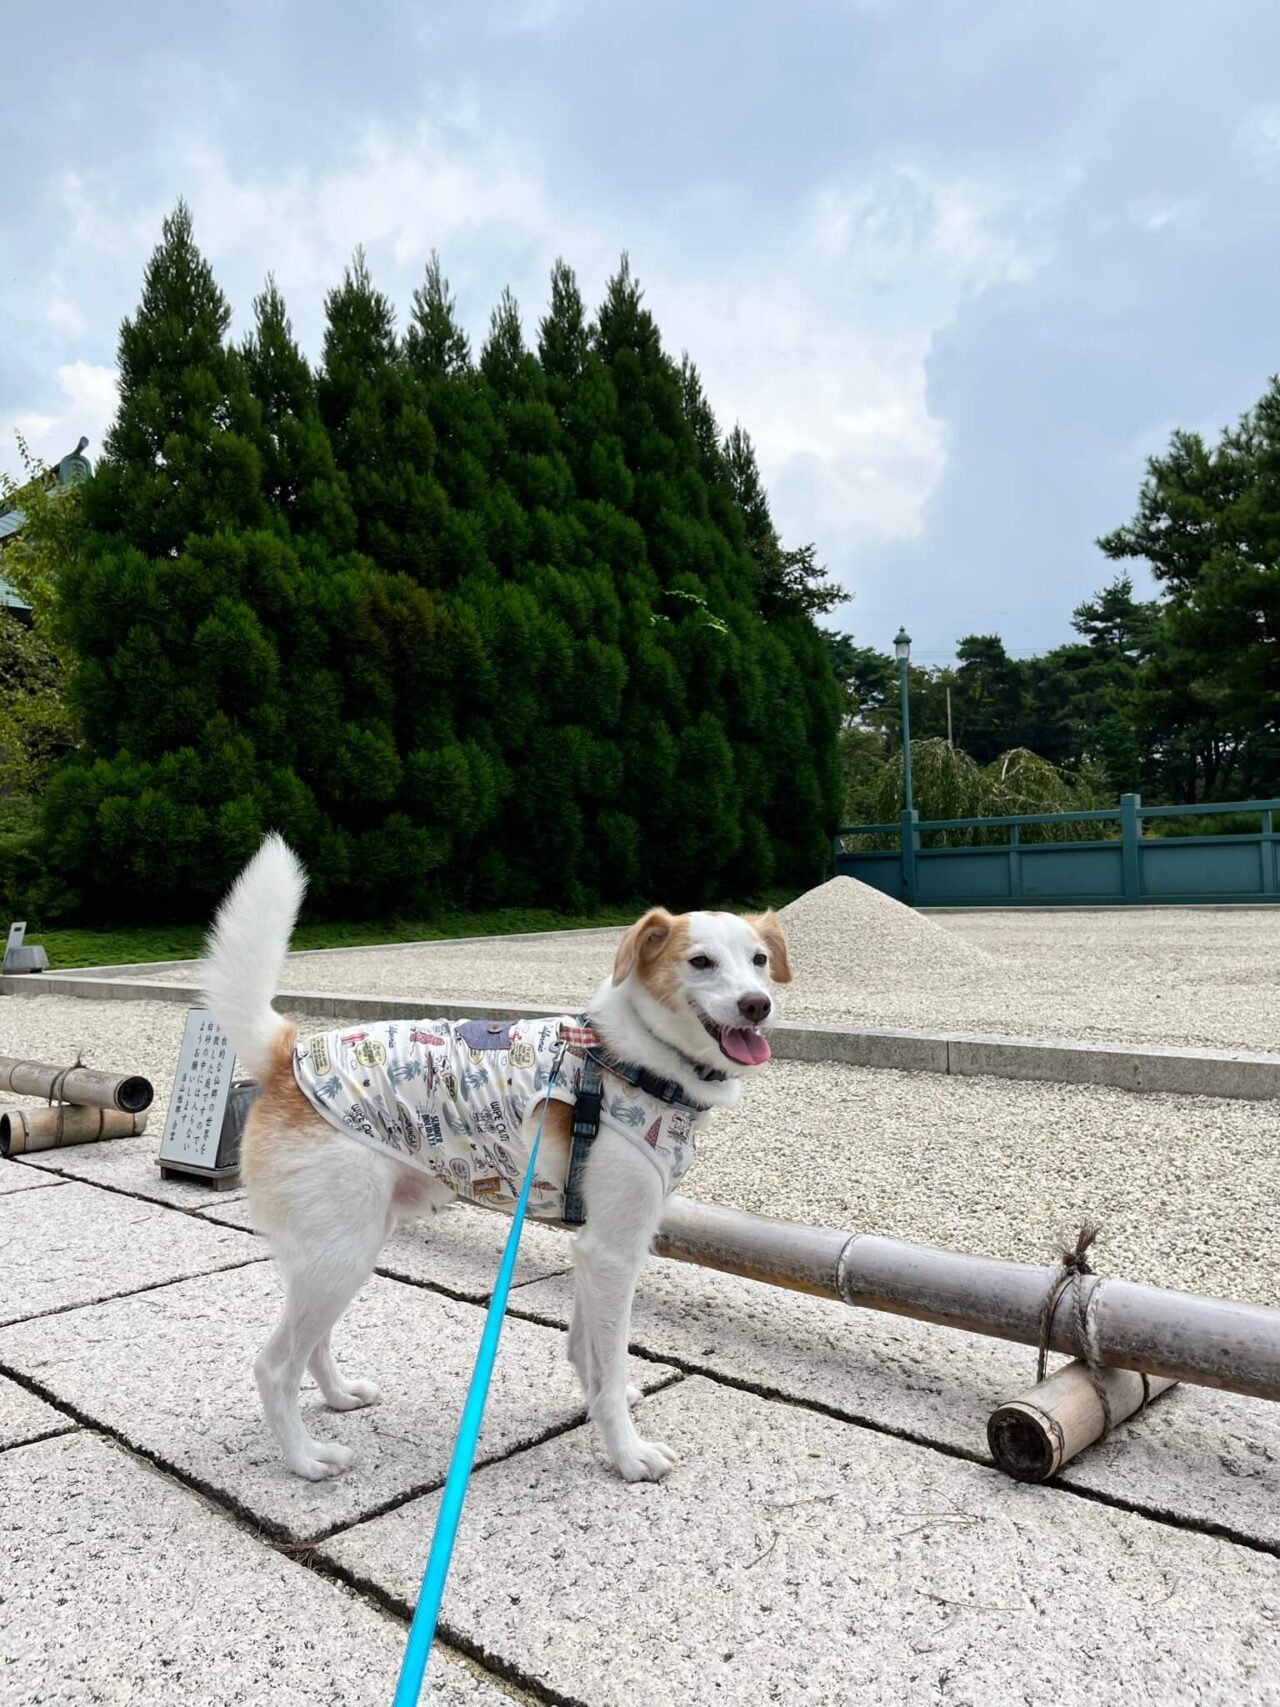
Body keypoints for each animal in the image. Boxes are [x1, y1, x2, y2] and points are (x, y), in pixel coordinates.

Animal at [203, 836, 791, 1481]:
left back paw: (339, 1397)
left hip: (341, 1249)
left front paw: (599, 1405)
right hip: (342, 1253)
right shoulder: (615, 1251)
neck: (632, 1060)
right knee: (274, 1365)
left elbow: (589, 1350)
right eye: (700, 962)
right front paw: (627, 1453)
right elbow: (609, 1362)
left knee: (313, 1343)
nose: (757, 1005)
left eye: (759, 960)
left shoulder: (593, 1248)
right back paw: (305, 1458)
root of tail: (288, 1058)